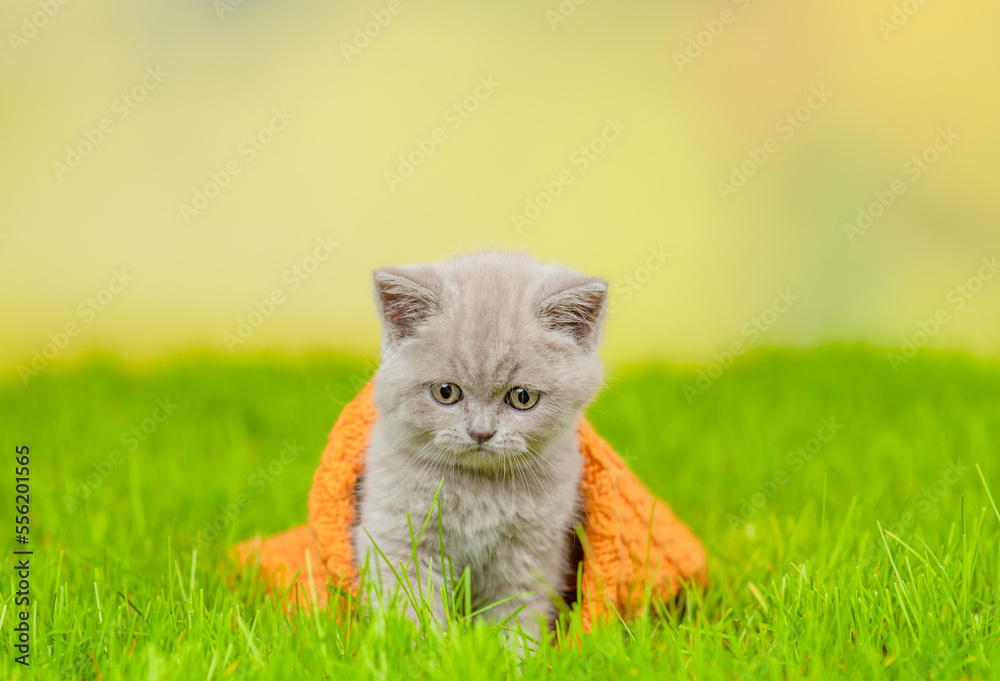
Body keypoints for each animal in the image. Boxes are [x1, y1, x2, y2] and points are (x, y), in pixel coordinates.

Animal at [358, 248, 608, 636]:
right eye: (445, 392)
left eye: (522, 397)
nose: (480, 432)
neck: (479, 491)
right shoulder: (398, 535)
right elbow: (411, 606)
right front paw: (422, 646)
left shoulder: (529, 556)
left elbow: (516, 616)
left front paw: (511, 652)